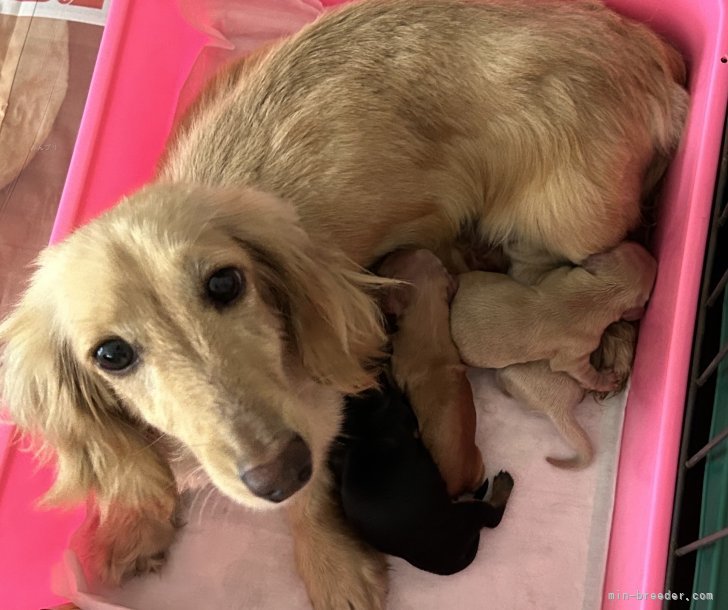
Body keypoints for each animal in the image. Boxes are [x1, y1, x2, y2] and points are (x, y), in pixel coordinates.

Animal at [376, 247, 484, 494]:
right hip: (479, 462)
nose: (393, 249)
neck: (430, 317)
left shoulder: (397, 372)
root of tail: (457, 485)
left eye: (389, 263)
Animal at [452, 241, 656, 390]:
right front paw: (604, 381)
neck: (601, 293)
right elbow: (580, 371)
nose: (653, 256)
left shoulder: (558, 276)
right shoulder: (575, 354)